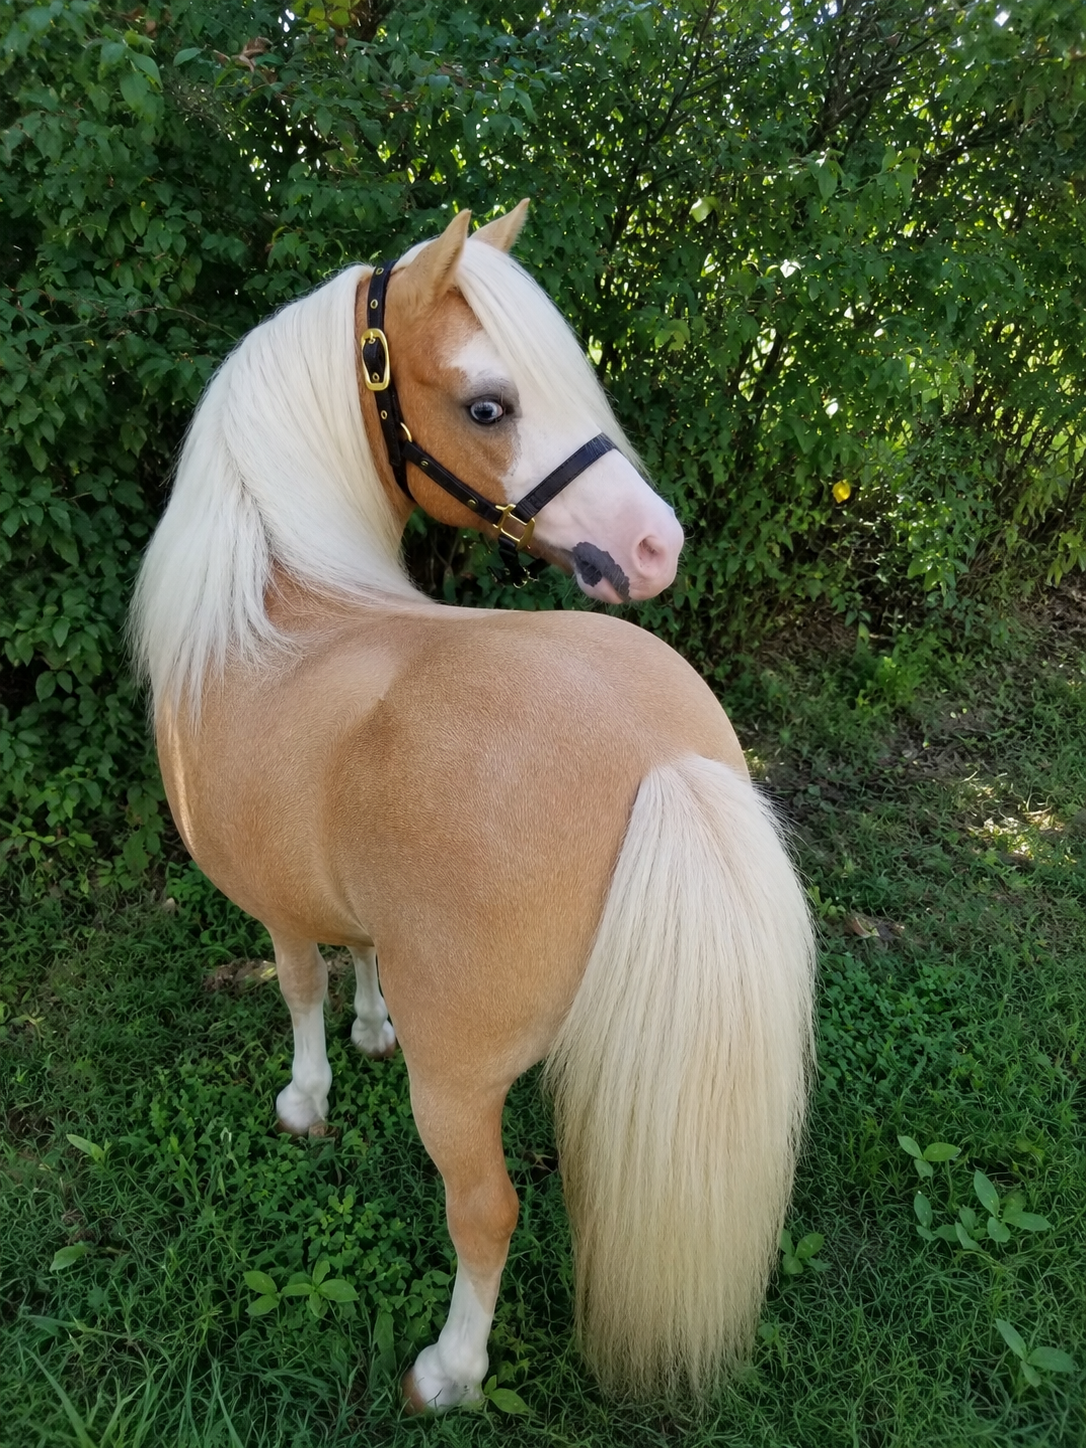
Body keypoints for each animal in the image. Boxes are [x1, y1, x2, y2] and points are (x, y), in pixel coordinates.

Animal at [131, 201, 815, 1409]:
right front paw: (371, 1032)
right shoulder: (348, 905)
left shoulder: (275, 908)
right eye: (488, 404)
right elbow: (357, 963)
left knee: (486, 1212)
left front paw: (307, 1099)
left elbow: (299, 991)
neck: (273, 602)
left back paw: (447, 1371)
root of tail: (659, 761)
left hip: (459, 1091)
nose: (656, 544)